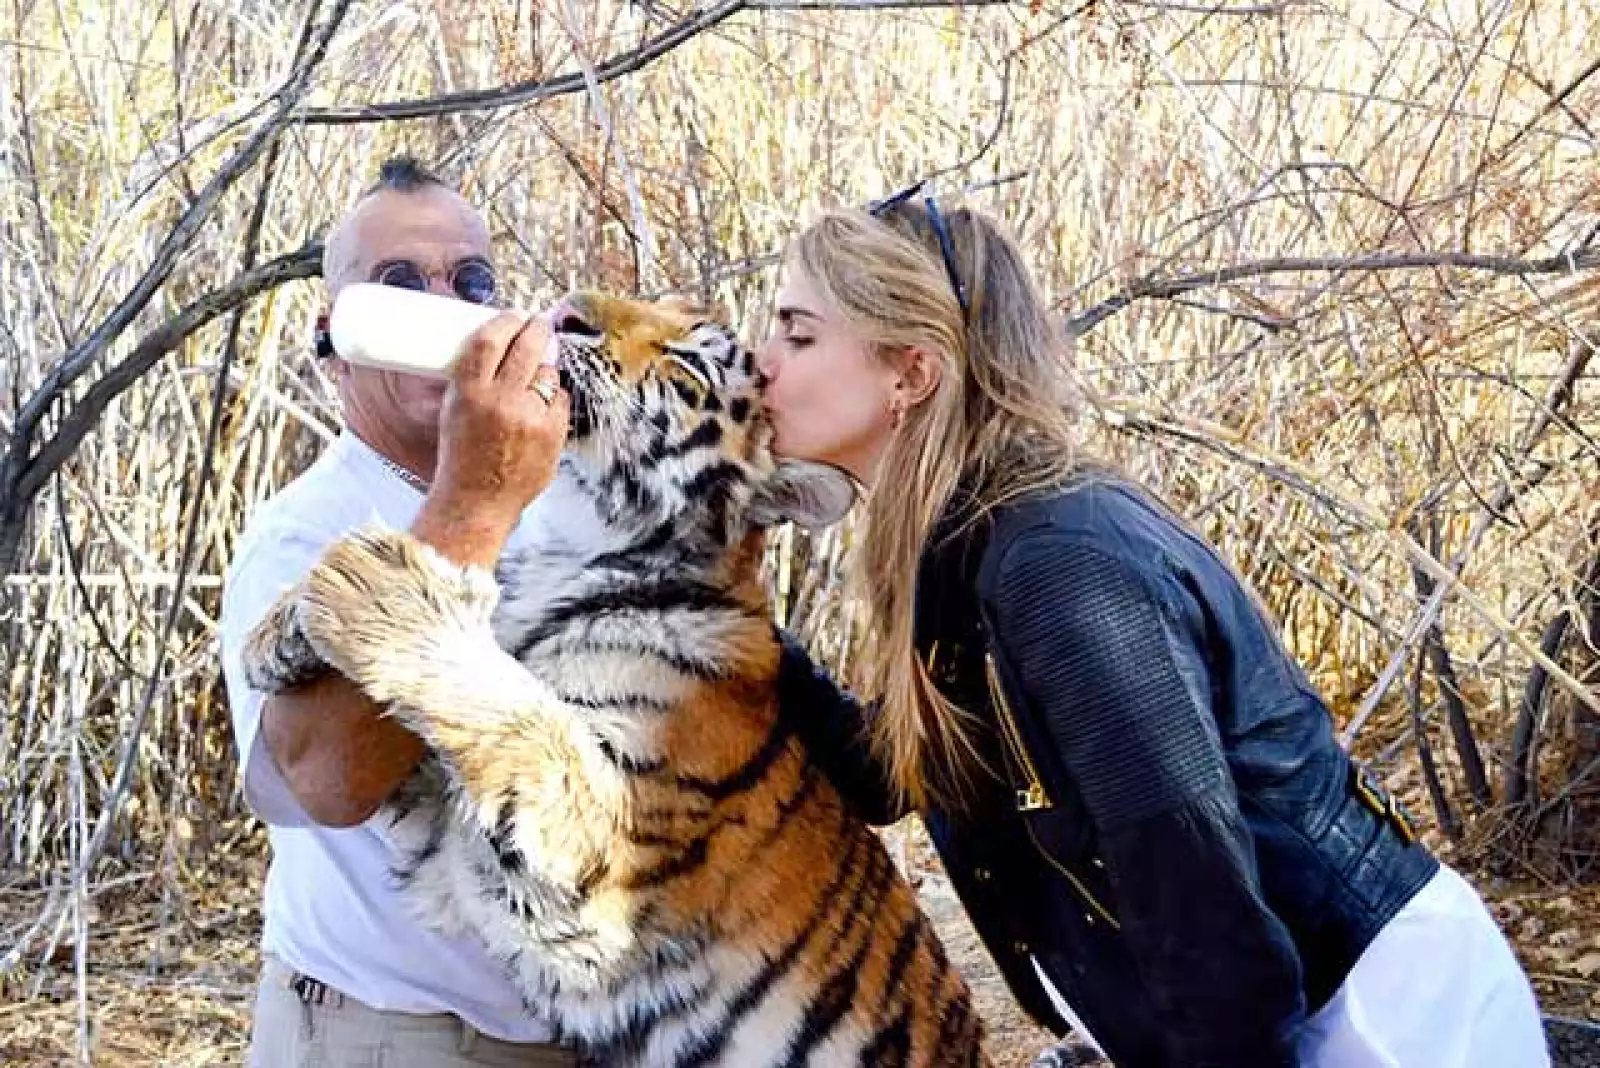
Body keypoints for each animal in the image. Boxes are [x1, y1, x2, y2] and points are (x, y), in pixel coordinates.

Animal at [240, 292, 990, 1067]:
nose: (568, 312)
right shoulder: (442, 828)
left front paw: (384, 582)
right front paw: (277, 630)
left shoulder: (597, 866)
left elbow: (519, 714)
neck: (574, 549)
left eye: (688, 363)